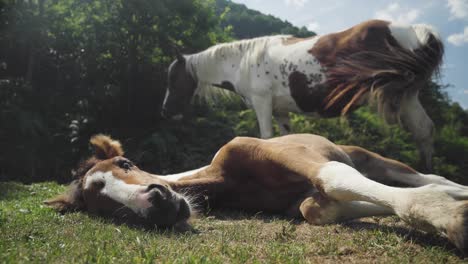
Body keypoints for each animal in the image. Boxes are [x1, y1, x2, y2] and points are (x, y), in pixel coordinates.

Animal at [46, 134, 468, 254]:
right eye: (106, 209)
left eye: (127, 163)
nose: (157, 201)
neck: (225, 178)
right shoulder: (300, 203)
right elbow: (317, 207)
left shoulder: (300, 156)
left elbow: (333, 179)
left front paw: (449, 217)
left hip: (372, 158)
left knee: (423, 175)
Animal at [161, 19, 442, 171]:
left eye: (173, 78)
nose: (165, 111)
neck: (243, 61)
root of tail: (418, 31)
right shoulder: (280, 110)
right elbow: (285, 139)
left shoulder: (263, 103)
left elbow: (266, 137)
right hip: (407, 95)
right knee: (424, 131)